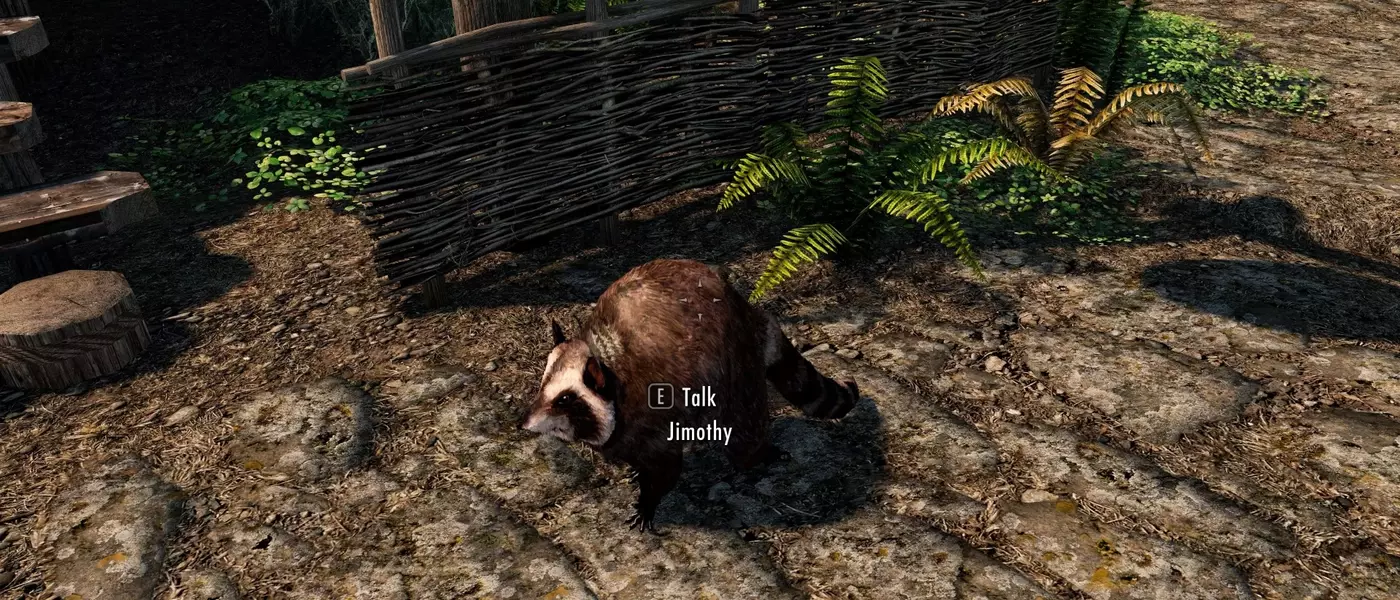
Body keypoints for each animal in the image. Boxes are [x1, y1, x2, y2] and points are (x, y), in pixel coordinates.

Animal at [521, 259, 860, 533]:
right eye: (542, 386)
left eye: (565, 399)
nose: (524, 423)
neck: (606, 363)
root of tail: (746, 309)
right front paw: (634, 469)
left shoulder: (653, 408)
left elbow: (667, 467)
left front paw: (648, 501)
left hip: (736, 366)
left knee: (744, 438)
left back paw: (759, 453)